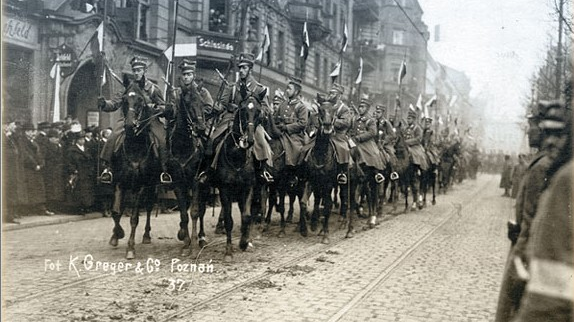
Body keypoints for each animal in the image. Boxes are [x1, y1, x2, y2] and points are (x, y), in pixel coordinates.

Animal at [108, 82, 161, 260]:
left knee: (149, 206)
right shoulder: (119, 182)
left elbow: (134, 218)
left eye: (141, 100)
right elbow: (116, 211)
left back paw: (146, 236)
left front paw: (130, 248)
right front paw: (117, 235)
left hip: (152, 186)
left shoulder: (140, 186)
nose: (130, 126)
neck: (134, 148)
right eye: (124, 100)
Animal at [166, 86, 209, 256]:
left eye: (202, 102)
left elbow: (195, 212)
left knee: (202, 210)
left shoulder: (196, 181)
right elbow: (183, 212)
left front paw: (193, 244)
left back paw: (202, 237)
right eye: (188, 102)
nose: (201, 128)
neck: (183, 145)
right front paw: (185, 240)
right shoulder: (179, 182)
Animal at [210, 91, 266, 262]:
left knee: (251, 211)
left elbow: (246, 216)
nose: (249, 140)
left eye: (259, 112)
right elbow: (229, 219)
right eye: (242, 110)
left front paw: (243, 242)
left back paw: (248, 238)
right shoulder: (225, 190)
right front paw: (228, 251)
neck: (236, 157)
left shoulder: (248, 188)